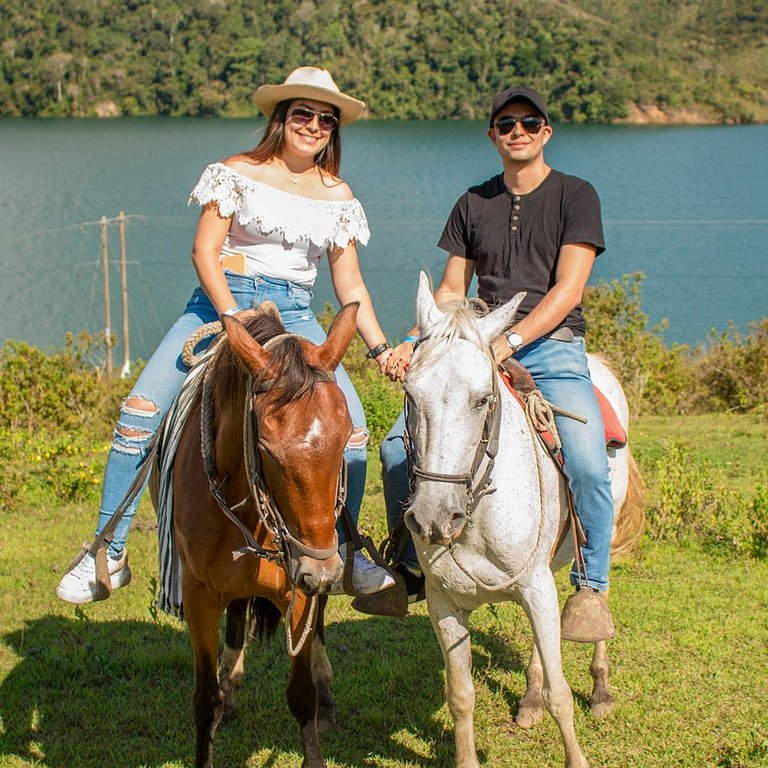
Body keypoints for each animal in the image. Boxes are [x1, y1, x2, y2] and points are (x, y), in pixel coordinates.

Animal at [168, 304, 356, 768]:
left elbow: (302, 695)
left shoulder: (299, 590)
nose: (323, 572)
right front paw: (219, 699)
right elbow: (204, 701)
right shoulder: (197, 595)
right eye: (266, 447)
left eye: (346, 436)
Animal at [404, 274, 644, 768]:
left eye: (483, 399)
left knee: (597, 595)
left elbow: (562, 696)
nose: (434, 517)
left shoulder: (535, 587)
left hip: (598, 539)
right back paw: (530, 697)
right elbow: (461, 695)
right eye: (411, 394)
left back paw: (601, 688)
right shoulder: (444, 602)